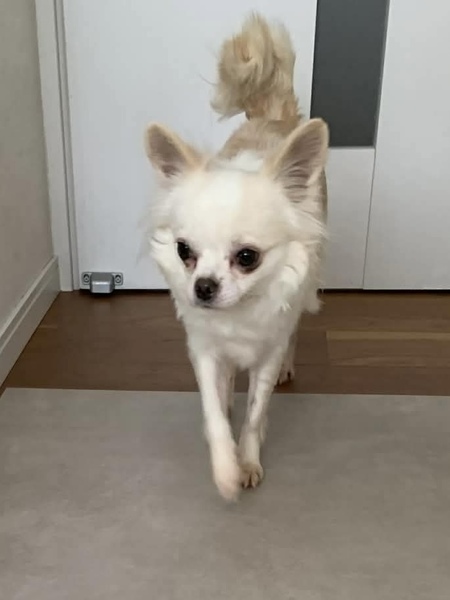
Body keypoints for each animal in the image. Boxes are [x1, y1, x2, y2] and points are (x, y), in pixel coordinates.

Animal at [144, 13, 328, 500]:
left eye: (247, 257)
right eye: (184, 251)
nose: (203, 287)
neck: (239, 315)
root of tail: (270, 118)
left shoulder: (265, 351)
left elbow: (256, 412)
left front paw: (247, 461)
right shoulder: (206, 351)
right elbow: (214, 410)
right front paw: (226, 465)